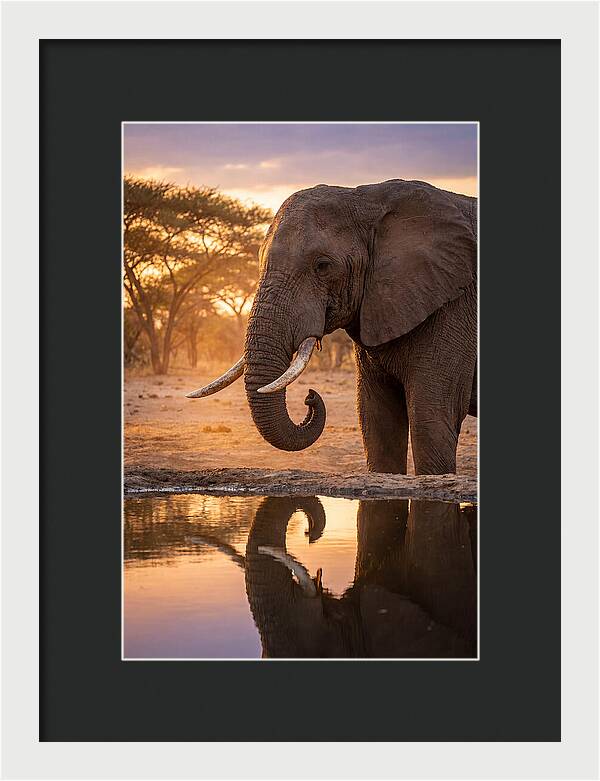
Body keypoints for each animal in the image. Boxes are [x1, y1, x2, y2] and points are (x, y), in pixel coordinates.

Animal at [187, 179, 477, 475]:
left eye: (323, 266)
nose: (310, 397)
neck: (369, 198)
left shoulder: (453, 306)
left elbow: (431, 419)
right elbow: (376, 419)